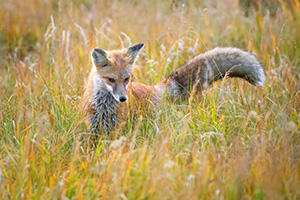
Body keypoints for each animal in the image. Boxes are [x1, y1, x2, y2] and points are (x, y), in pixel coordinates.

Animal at [81, 43, 264, 134]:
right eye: (111, 80)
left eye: (126, 79)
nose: (123, 99)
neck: (104, 107)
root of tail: (154, 89)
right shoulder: (92, 127)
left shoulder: (116, 129)